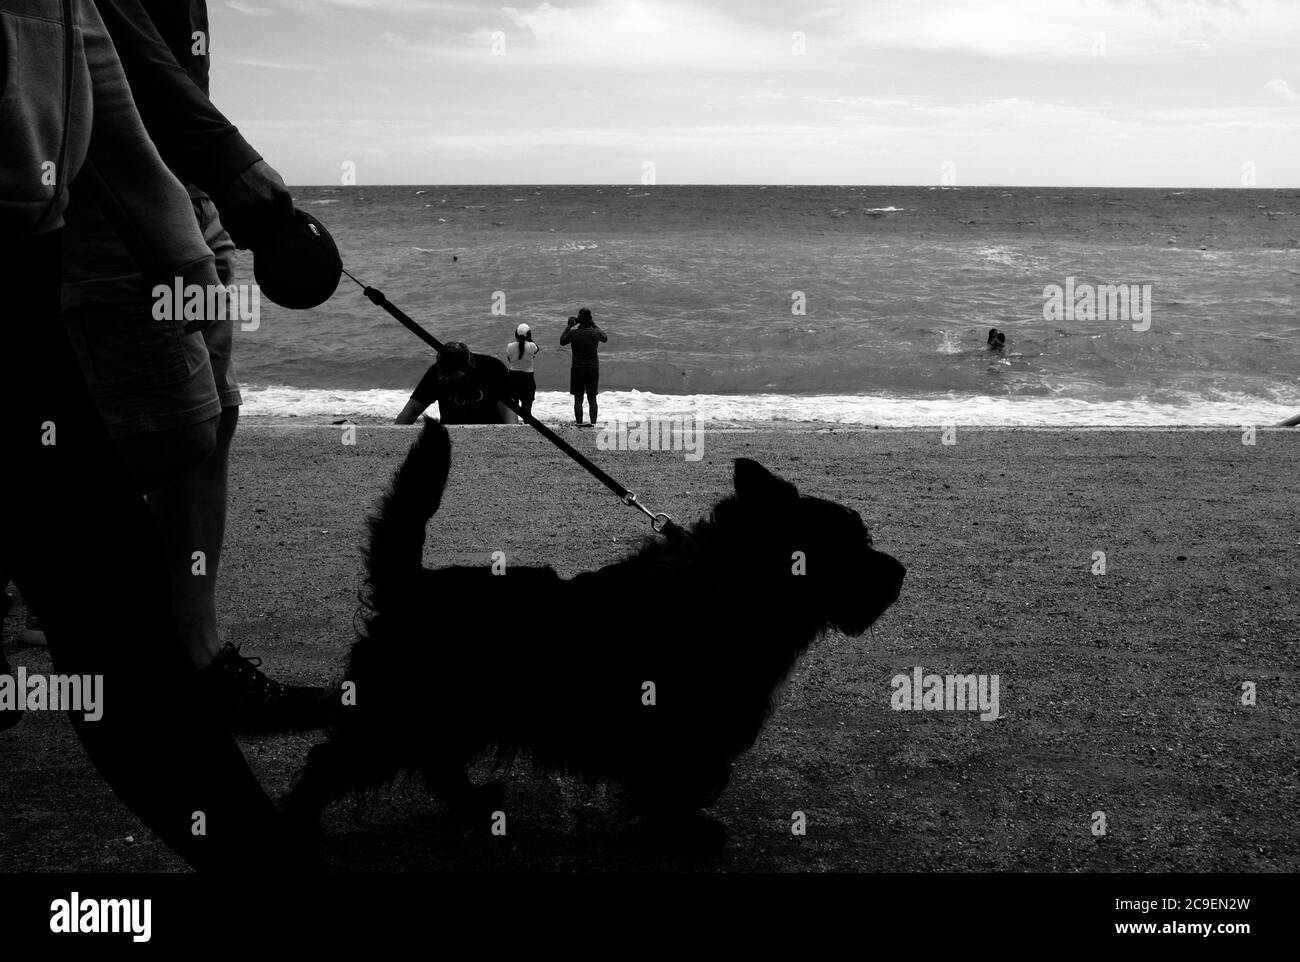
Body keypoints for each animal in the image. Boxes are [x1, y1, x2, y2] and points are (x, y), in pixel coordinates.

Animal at [287, 421, 904, 847]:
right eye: (850, 548)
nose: (901, 572)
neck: (735, 591)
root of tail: (409, 584)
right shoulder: (682, 734)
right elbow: (677, 786)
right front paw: (688, 832)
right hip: (394, 719)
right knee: (328, 764)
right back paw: (304, 828)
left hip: (449, 716)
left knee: (439, 763)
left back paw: (476, 802)